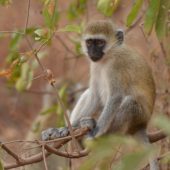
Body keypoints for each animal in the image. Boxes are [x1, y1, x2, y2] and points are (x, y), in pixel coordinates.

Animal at [41, 20, 159, 169]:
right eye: (90, 42)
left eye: (100, 43)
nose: (93, 52)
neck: (108, 57)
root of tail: (143, 125)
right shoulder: (95, 65)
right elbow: (95, 96)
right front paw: (68, 129)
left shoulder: (116, 65)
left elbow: (116, 97)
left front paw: (95, 133)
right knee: (89, 93)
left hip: (139, 117)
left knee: (129, 103)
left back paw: (95, 139)